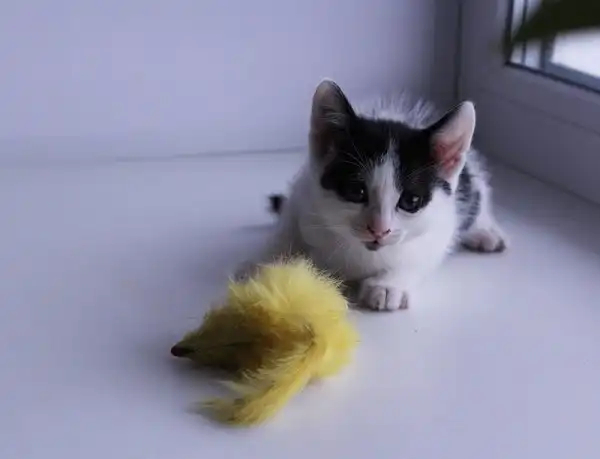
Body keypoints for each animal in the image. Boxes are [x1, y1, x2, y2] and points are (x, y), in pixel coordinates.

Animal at [238, 79, 506, 311]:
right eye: (356, 191)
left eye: (410, 201)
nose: (379, 229)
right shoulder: (304, 193)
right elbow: (288, 231)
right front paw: (268, 268)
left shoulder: (440, 224)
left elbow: (420, 255)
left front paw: (388, 285)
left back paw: (486, 232)